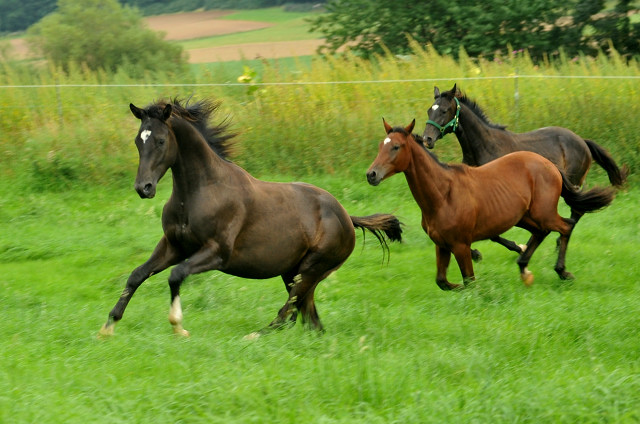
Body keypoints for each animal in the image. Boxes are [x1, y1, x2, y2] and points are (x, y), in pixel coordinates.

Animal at [99, 97, 400, 338]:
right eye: (138, 141)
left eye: (161, 141)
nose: (144, 188)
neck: (201, 190)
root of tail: (347, 216)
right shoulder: (174, 246)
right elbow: (137, 275)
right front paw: (108, 327)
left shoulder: (216, 253)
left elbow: (176, 275)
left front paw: (178, 326)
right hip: (294, 272)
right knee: (308, 316)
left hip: (311, 269)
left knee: (288, 312)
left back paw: (254, 336)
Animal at [368, 119, 616, 290]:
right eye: (381, 145)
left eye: (396, 147)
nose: (371, 174)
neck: (443, 194)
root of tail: (549, 164)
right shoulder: (441, 244)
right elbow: (443, 281)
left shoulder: (460, 244)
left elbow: (469, 281)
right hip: (524, 217)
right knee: (541, 232)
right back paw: (524, 268)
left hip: (543, 213)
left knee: (565, 226)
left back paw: (562, 271)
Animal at [422, 84, 628, 260]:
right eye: (429, 110)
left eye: (444, 111)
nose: (426, 139)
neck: (485, 147)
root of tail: (582, 141)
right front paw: (476, 252)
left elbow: (493, 233)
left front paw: (516, 248)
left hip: (573, 183)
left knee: (577, 211)